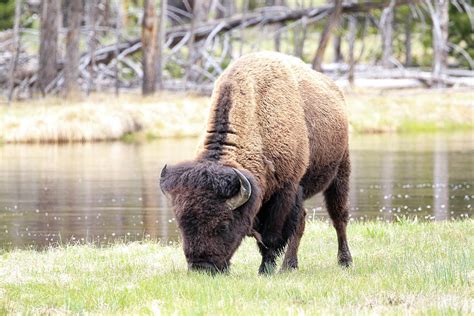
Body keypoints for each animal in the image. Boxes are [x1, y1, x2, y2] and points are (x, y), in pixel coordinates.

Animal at [159, 51, 352, 274]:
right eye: (181, 224)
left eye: (224, 224)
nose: (201, 268)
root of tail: (335, 89)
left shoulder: (284, 192)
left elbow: (271, 236)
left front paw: (265, 270)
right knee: (302, 221)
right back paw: (289, 265)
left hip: (340, 171)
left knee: (338, 217)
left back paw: (345, 261)